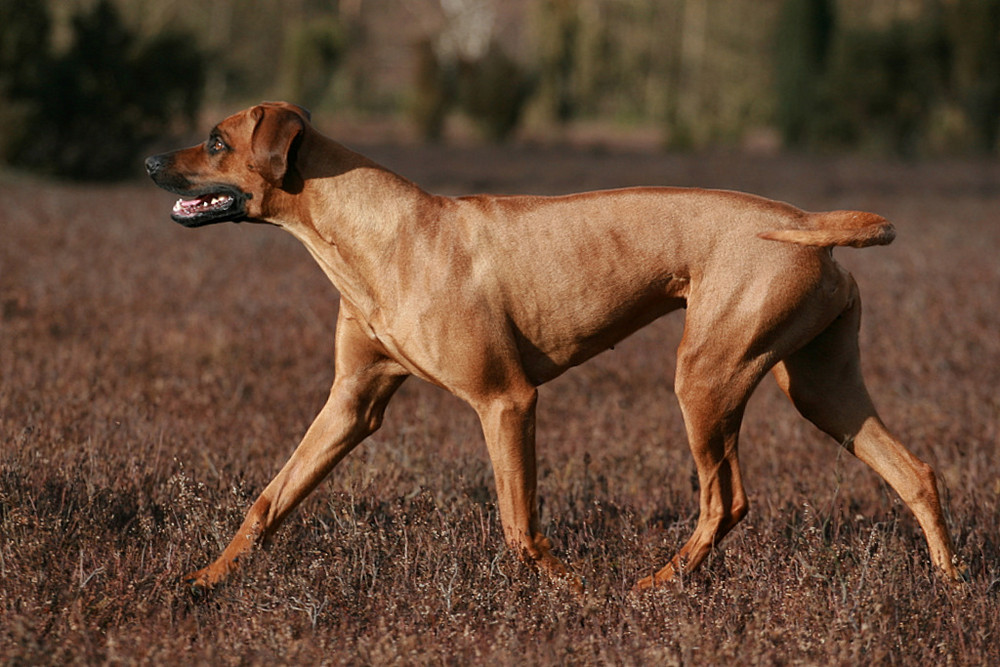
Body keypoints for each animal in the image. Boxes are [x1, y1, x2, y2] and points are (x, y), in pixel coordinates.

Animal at [145, 102, 964, 592]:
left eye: (216, 140)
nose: (150, 162)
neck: (379, 234)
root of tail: (804, 221)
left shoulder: (506, 401)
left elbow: (519, 526)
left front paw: (570, 595)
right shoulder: (351, 405)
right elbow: (268, 499)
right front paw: (203, 580)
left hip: (707, 379)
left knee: (725, 500)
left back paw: (655, 587)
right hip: (821, 389)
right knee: (916, 473)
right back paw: (951, 588)